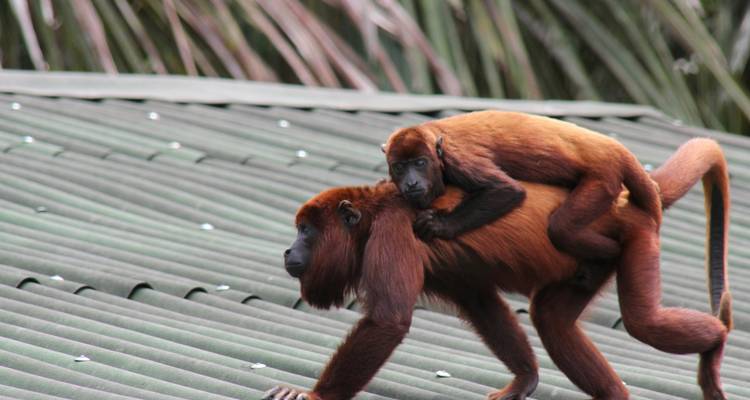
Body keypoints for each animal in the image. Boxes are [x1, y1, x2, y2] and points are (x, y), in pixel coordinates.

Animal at [265, 138, 731, 400]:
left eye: (306, 230)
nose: (288, 250)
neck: (372, 213)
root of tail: (624, 200)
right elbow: (479, 301)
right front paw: (524, 379)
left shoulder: (392, 231)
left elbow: (388, 320)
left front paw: (315, 395)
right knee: (551, 318)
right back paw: (613, 392)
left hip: (637, 237)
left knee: (641, 320)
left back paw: (717, 342)